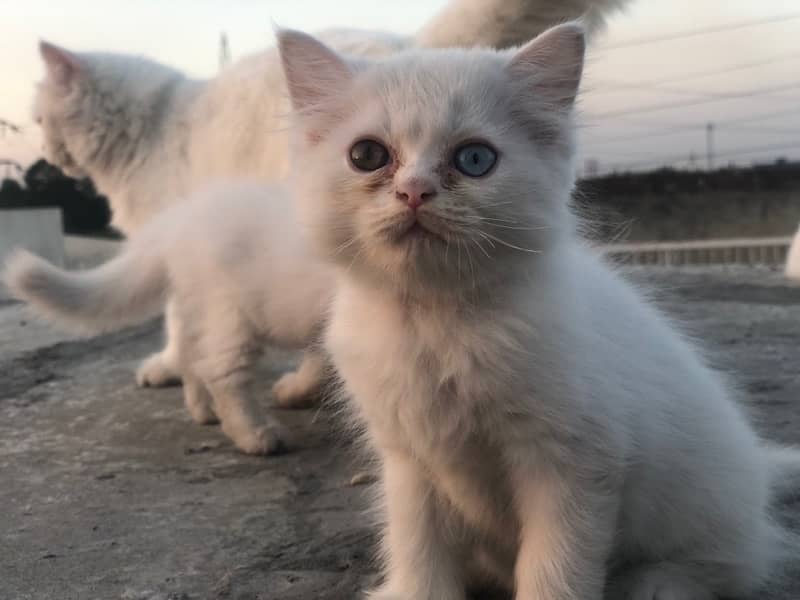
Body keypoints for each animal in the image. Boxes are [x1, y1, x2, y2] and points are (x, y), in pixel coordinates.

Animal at [5, 183, 332, 454]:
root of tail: (178, 217)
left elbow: (317, 364)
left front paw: (295, 391)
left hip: (201, 309)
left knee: (192, 358)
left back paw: (204, 410)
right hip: (229, 315)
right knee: (222, 372)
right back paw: (254, 434)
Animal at [32, 0, 632, 390]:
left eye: (39, 117)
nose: (48, 152)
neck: (153, 124)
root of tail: (411, 48)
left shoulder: (174, 229)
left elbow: (176, 315)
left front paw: (171, 365)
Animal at [276, 24, 800, 600]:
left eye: (475, 160)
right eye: (368, 155)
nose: (415, 191)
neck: (436, 321)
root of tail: (758, 465)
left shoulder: (573, 462)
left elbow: (553, 569)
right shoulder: (410, 462)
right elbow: (418, 551)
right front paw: (413, 588)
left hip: (703, 509)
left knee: (731, 563)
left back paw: (655, 582)